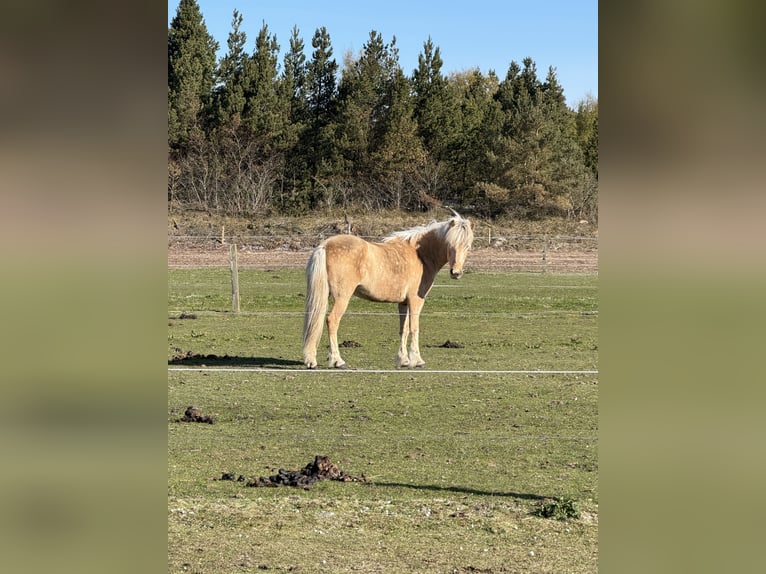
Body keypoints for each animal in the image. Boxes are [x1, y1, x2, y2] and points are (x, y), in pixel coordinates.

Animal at [302, 209, 474, 369]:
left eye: (467, 246)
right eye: (450, 245)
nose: (456, 273)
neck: (420, 254)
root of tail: (325, 245)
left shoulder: (403, 303)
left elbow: (403, 329)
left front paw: (403, 360)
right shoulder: (416, 300)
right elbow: (414, 328)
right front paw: (417, 360)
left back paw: (312, 360)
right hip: (342, 297)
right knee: (332, 321)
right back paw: (337, 361)